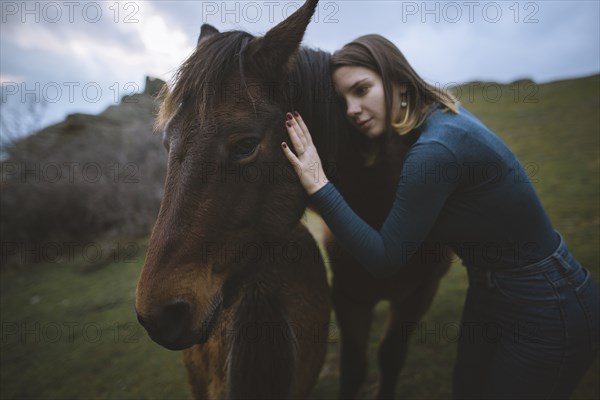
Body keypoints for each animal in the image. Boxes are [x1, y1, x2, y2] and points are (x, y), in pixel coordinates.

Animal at [136, 0, 450, 398]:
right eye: (167, 142)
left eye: (246, 144)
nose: (159, 314)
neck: (382, 207)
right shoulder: (350, 297)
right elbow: (354, 367)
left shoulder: (418, 295)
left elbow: (389, 358)